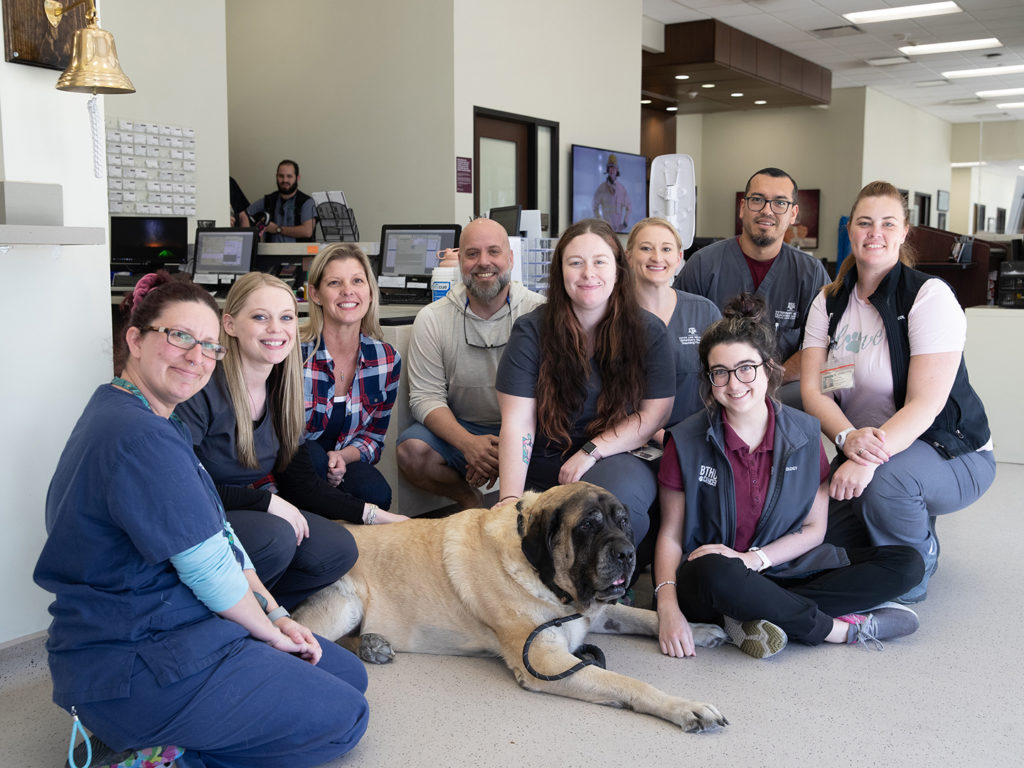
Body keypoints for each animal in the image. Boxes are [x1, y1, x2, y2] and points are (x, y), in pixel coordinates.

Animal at [294, 481, 729, 733]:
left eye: (622, 521)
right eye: (588, 525)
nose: (627, 554)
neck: (547, 582)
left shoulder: (597, 613)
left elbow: (643, 616)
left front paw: (695, 629)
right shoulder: (545, 661)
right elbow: (627, 683)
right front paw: (685, 707)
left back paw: (372, 644)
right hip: (345, 602)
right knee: (308, 638)